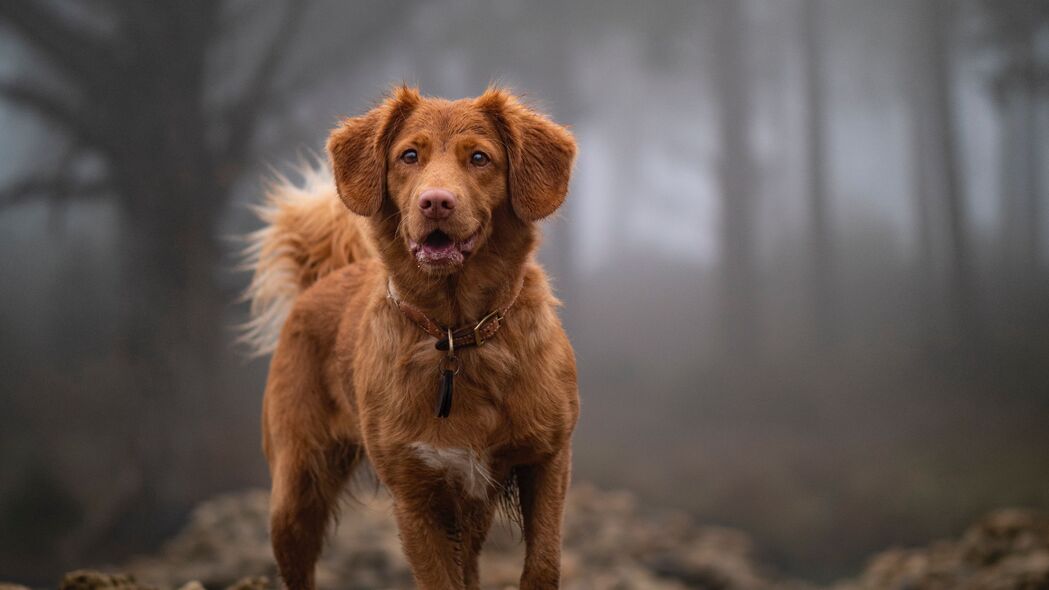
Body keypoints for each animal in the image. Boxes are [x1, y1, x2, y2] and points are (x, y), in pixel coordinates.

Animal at [241, 88, 579, 587]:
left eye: (480, 158)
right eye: (409, 156)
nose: (435, 202)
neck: (457, 335)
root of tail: (326, 278)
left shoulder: (547, 460)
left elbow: (543, 563)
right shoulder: (415, 493)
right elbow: (440, 580)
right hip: (296, 490)